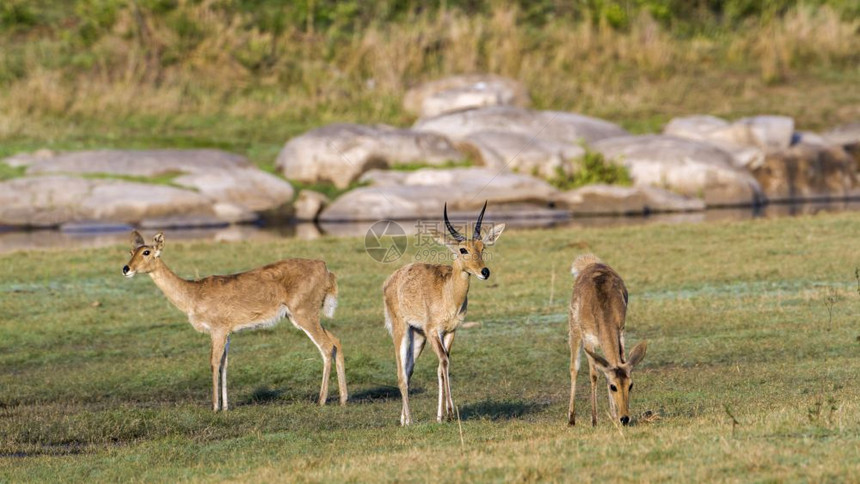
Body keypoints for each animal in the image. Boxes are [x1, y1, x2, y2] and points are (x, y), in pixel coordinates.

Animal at [122, 232, 350, 412]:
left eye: (146, 252)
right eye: (130, 250)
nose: (126, 269)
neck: (193, 296)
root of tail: (326, 269)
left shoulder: (218, 328)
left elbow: (214, 362)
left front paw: (214, 407)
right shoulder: (229, 331)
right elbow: (225, 363)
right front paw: (225, 406)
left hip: (304, 312)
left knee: (326, 346)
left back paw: (321, 400)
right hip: (303, 314)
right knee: (336, 341)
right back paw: (343, 399)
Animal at [382, 200, 504, 424]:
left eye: (482, 247)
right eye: (463, 249)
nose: (484, 272)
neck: (448, 294)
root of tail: (391, 279)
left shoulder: (450, 331)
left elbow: (442, 366)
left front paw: (441, 416)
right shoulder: (433, 331)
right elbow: (444, 361)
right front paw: (449, 411)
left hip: (417, 335)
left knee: (409, 370)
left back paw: (404, 419)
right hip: (401, 329)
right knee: (401, 374)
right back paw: (409, 420)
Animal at [572, 255, 644, 426]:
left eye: (630, 385)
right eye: (613, 387)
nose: (625, 418)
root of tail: (589, 262)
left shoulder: (621, 332)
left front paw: (614, 416)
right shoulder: (588, 338)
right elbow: (594, 375)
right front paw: (594, 420)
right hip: (574, 327)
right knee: (574, 367)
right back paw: (571, 419)